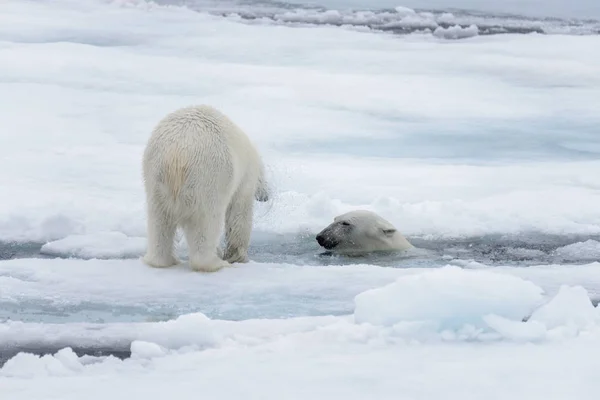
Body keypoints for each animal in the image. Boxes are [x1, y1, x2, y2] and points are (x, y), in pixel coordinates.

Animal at [142, 104, 268, 272]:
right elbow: (239, 215)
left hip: (155, 178)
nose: (265, 196)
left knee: (159, 221)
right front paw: (237, 255)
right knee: (207, 222)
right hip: (209, 178)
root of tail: (176, 155)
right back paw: (214, 263)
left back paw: (163, 260)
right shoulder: (244, 179)